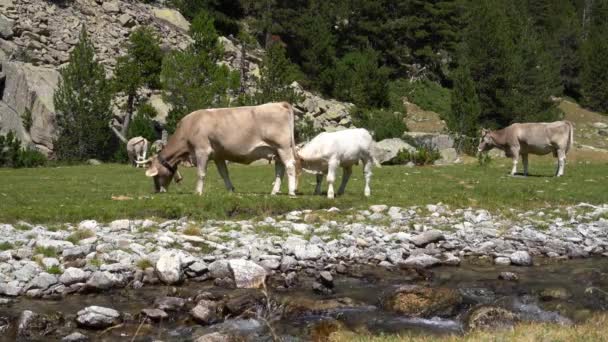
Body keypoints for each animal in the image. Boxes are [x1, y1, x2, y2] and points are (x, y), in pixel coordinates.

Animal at [138, 102, 300, 195]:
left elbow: (201, 173)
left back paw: (291, 191)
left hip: (283, 147)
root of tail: (279, 103)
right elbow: (224, 174)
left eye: (156, 176)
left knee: (290, 166)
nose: (157, 191)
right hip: (276, 150)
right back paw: (274, 191)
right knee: (280, 169)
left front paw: (197, 192)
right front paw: (231, 190)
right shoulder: (218, 155)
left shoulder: (202, 151)